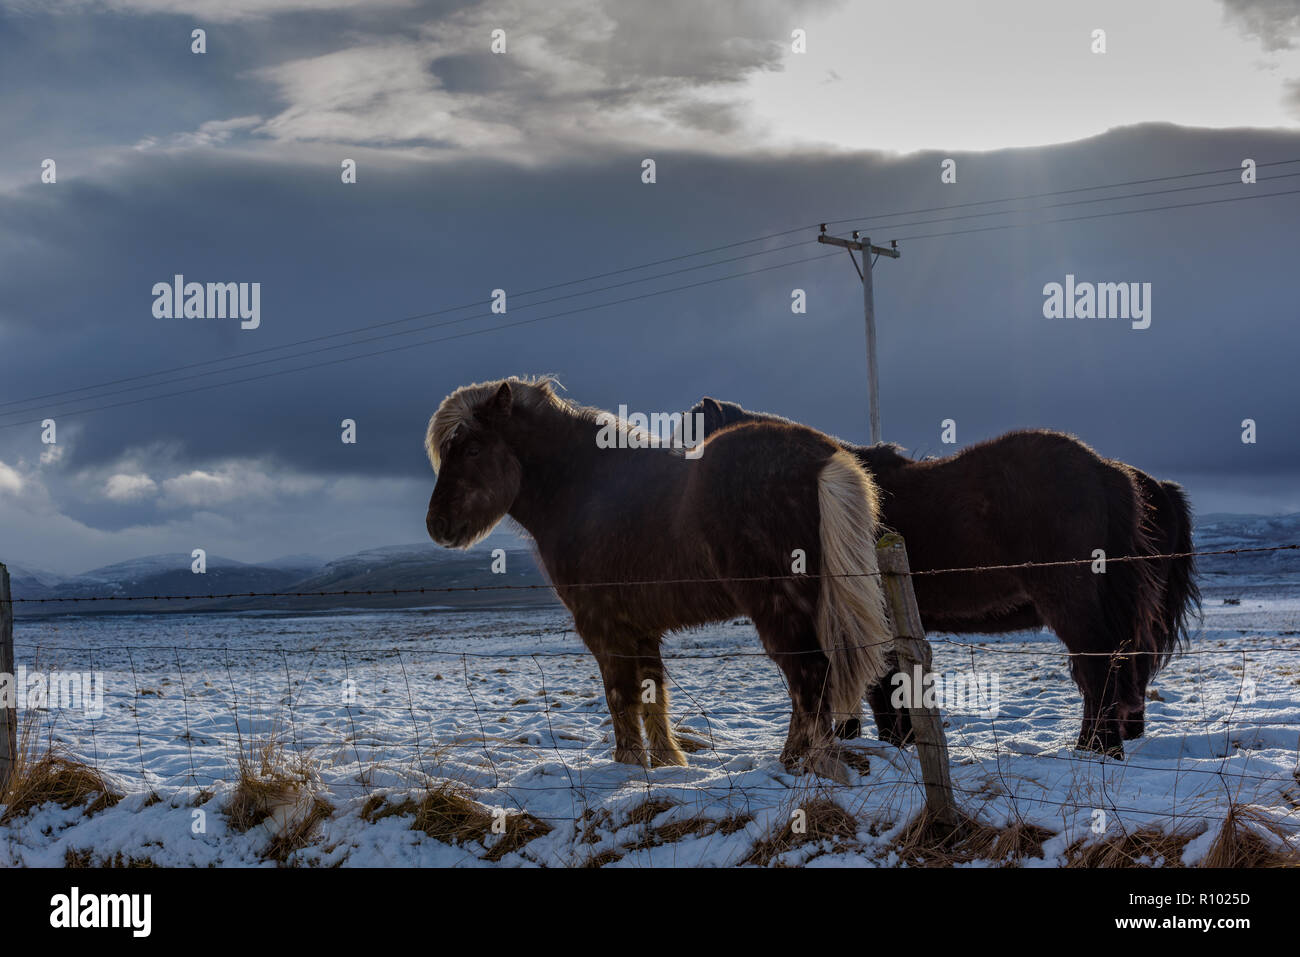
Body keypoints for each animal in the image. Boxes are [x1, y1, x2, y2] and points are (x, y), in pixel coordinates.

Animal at [424, 377, 894, 783]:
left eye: (472, 448)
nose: (437, 525)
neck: (584, 490)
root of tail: (821, 457)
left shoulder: (602, 626)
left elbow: (620, 695)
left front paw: (627, 766)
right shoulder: (641, 629)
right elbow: (654, 693)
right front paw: (669, 764)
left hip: (778, 605)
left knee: (810, 674)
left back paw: (815, 764)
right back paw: (792, 761)